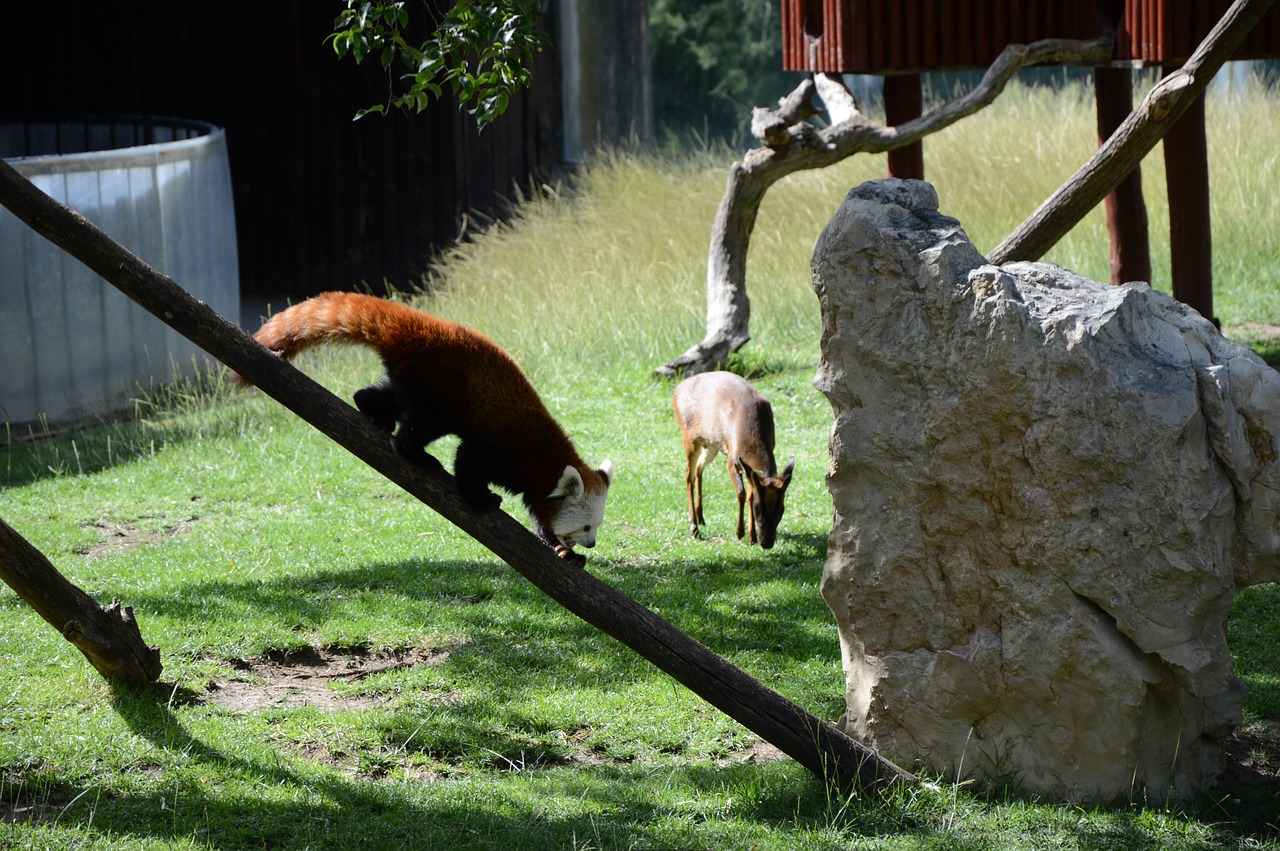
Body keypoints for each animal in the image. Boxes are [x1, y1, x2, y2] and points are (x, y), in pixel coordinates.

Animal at [245, 289, 619, 560]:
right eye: (587, 526)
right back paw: (415, 454)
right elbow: (470, 459)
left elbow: (539, 512)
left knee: (385, 395)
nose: (591, 544)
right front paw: (481, 499)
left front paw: (560, 549)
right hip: (439, 386)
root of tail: (420, 326)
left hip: (414, 378)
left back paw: (371, 410)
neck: (546, 458)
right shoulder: (508, 450)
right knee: (421, 426)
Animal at [670, 373, 788, 547]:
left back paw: (700, 516)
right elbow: (741, 493)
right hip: (689, 438)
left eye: (781, 510)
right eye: (759, 510)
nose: (767, 543)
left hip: (711, 445)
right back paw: (694, 528)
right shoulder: (732, 460)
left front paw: (752, 536)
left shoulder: (750, 470)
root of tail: (676, 390)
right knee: (688, 477)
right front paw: (740, 532)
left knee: (699, 468)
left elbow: (750, 494)